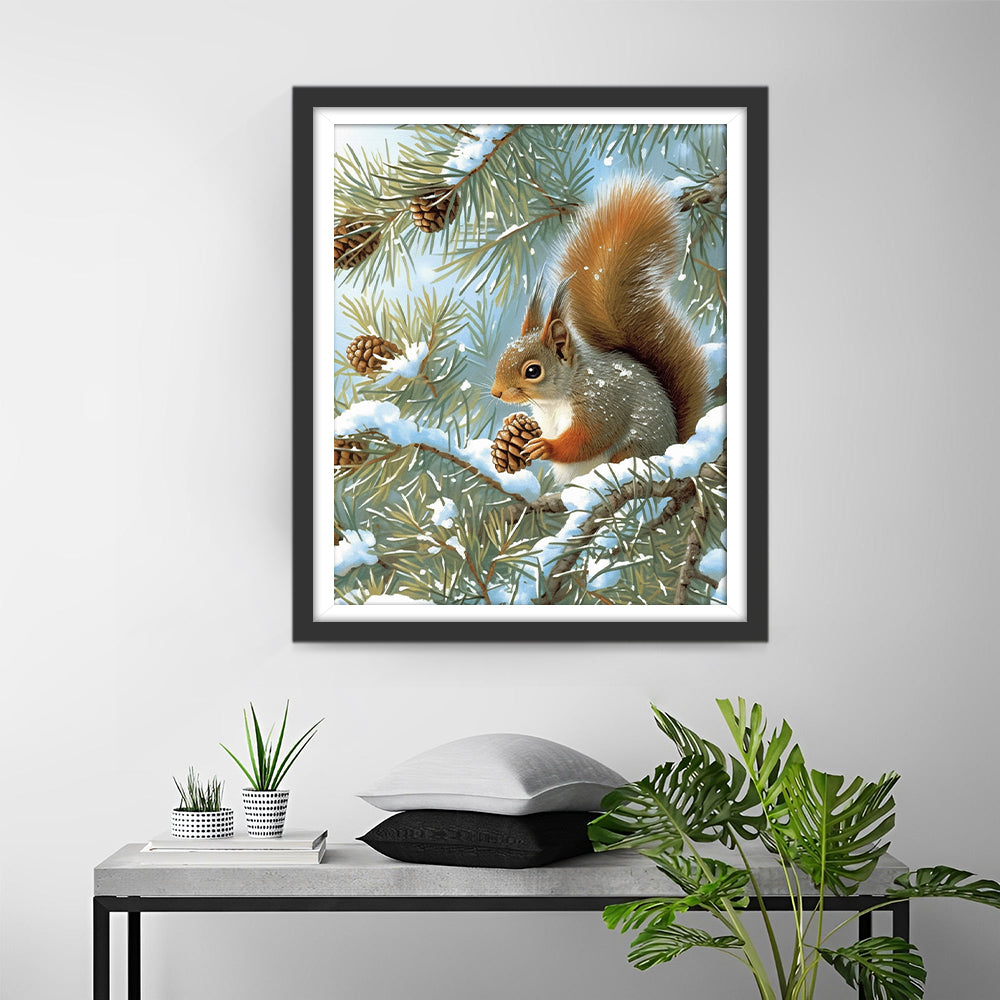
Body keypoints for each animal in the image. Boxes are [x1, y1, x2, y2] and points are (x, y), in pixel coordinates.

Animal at [491, 174, 709, 483]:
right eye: (503, 356)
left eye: (532, 371)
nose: (496, 393)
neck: (554, 400)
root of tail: (674, 445)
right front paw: (513, 422)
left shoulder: (603, 402)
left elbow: (590, 437)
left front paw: (547, 446)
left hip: (633, 450)